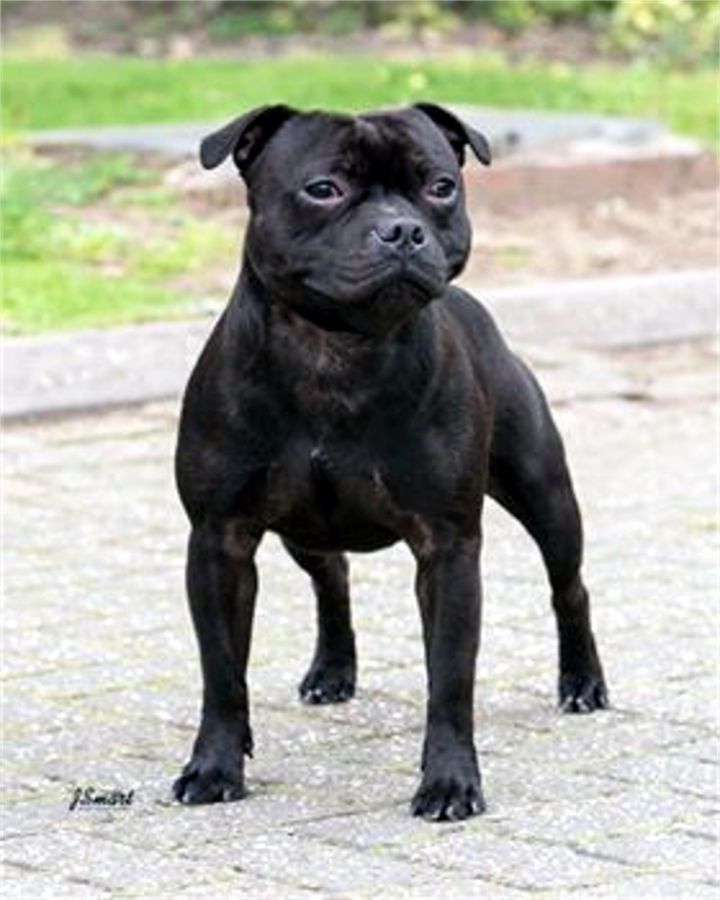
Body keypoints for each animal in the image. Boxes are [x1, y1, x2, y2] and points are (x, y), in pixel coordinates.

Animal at [173, 103, 608, 820]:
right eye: (323, 189)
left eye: (440, 187)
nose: (402, 230)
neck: (336, 349)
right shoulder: (220, 541)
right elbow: (221, 672)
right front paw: (213, 766)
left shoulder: (449, 548)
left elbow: (450, 679)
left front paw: (450, 782)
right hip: (303, 531)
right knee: (333, 578)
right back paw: (332, 671)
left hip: (545, 494)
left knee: (568, 586)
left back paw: (582, 681)